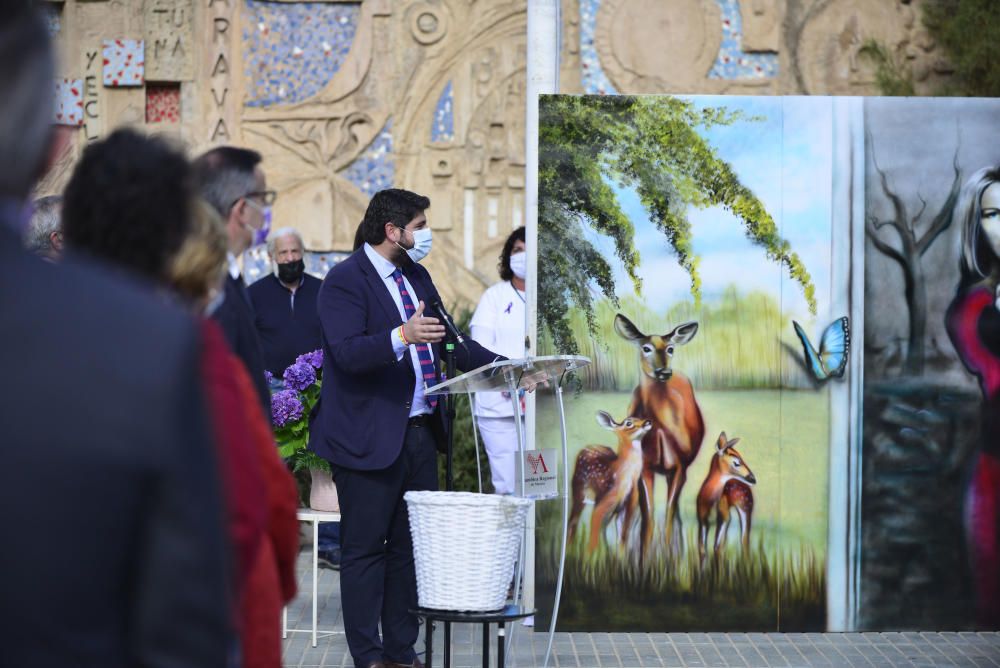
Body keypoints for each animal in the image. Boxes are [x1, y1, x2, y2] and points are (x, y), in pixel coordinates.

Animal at [572, 410, 656, 556]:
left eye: (638, 417)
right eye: (628, 423)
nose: (648, 421)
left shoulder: (627, 507)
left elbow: (623, 538)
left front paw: (620, 558)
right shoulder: (602, 504)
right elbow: (593, 538)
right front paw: (590, 557)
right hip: (578, 489)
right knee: (573, 521)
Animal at [616, 314, 704, 560]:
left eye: (670, 348)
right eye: (645, 348)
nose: (664, 372)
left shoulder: (680, 466)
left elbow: (668, 516)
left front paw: (670, 560)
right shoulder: (644, 467)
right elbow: (648, 519)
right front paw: (644, 560)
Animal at [696, 430, 756, 560]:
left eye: (741, 455)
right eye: (737, 462)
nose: (753, 478)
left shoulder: (723, 517)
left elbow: (717, 548)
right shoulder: (702, 519)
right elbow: (702, 550)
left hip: (745, 507)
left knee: (744, 541)